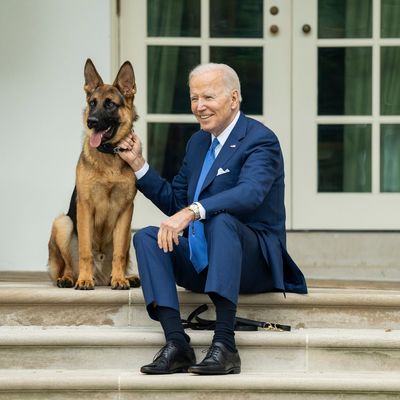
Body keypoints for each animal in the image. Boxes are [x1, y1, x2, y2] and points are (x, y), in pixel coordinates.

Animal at [48, 58, 140, 290]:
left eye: (110, 104)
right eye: (92, 103)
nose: (91, 121)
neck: (108, 156)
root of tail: (101, 278)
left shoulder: (126, 211)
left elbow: (119, 254)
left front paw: (120, 279)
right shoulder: (84, 207)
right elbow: (85, 250)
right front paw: (84, 280)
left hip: (129, 233)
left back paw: (125, 277)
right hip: (63, 223)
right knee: (68, 265)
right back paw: (70, 278)